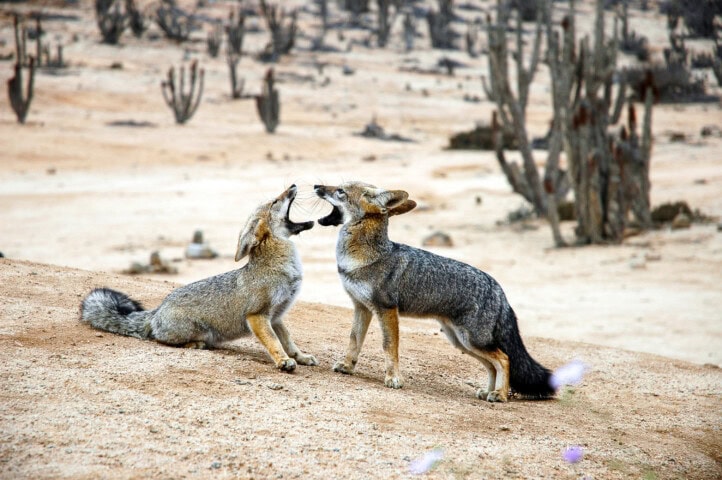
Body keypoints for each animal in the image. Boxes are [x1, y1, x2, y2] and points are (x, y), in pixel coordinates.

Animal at [80, 185, 318, 372]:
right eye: (275, 201)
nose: (293, 185)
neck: (283, 267)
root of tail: (157, 310)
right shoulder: (257, 315)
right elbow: (274, 342)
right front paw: (283, 361)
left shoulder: (276, 316)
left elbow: (288, 341)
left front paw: (300, 357)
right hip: (200, 331)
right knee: (161, 340)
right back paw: (194, 345)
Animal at [314, 181, 555, 402]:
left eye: (340, 191)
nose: (317, 186)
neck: (366, 256)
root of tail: (498, 288)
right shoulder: (361, 307)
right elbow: (354, 340)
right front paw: (347, 366)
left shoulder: (387, 309)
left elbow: (389, 346)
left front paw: (393, 378)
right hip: (462, 341)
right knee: (492, 365)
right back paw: (488, 391)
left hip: (471, 340)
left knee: (504, 359)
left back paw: (500, 395)